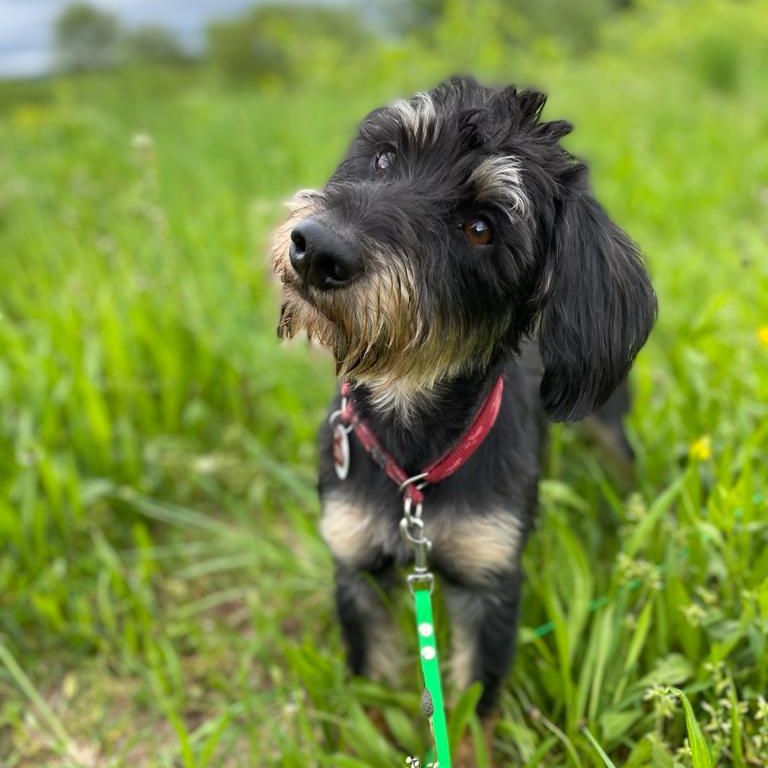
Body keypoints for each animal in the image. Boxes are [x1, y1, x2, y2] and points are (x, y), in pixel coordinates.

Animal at [270, 78, 656, 752]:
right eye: (384, 158)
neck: (413, 446)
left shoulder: (490, 583)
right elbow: (370, 691)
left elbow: (476, 709)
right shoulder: (354, 567)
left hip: (608, 416)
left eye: (480, 227)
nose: (315, 249)